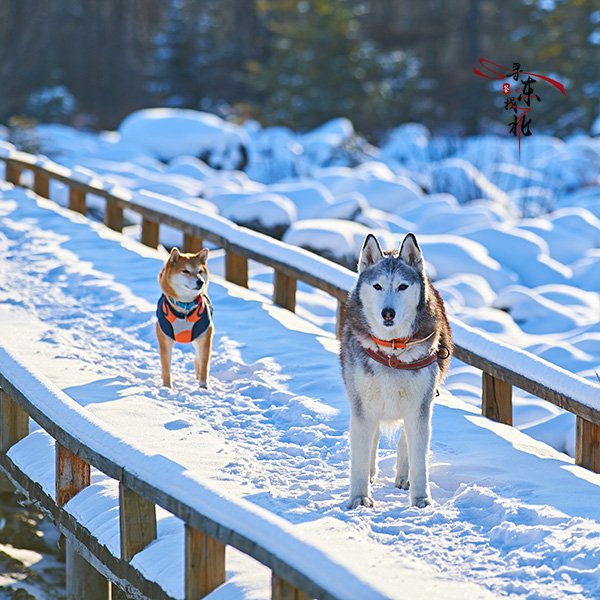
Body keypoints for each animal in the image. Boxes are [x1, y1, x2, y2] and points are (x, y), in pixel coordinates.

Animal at [156, 247, 214, 390]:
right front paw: (167, 387)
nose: (200, 282)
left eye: (200, 271)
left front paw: (203, 386)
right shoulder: (165, 339)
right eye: (185, 271)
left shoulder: (205, 336)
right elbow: (166, 366)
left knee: (198, 359)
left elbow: (204, 364)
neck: (185, 307)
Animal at [342, 232, 450, 508]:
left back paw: (404, 476)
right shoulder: (362, 406)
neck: (392, 351)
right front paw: (359, 498)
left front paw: (421, 499)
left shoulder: (420, 406)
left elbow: (419, 458)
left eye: (402, 286)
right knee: (374, 435)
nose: (387, 313)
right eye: (377, 286)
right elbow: (359, 456)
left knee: (404, 441)